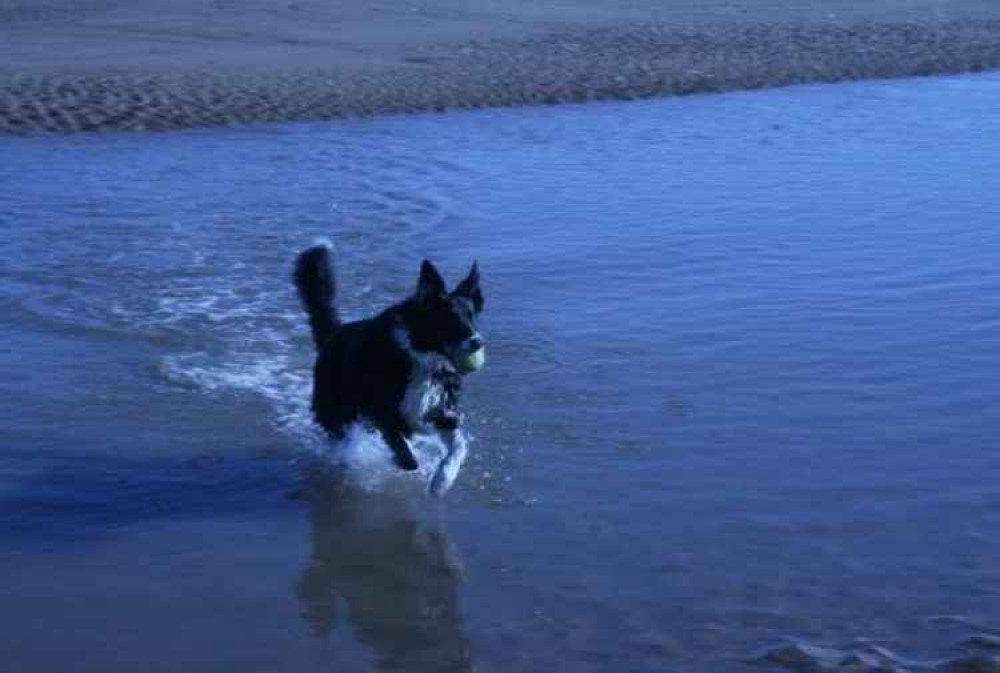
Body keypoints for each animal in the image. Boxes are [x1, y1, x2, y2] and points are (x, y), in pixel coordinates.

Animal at [292, 242, 484, 494]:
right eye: (449, 318)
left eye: (471, 316)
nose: (477, 342)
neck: (421, 356)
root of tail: (336, 333)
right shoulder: (380, 408)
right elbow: (403, 450)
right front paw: (403, 461)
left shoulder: (439, 411)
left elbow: (459, 444)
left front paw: (441, 481)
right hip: (335, 407)